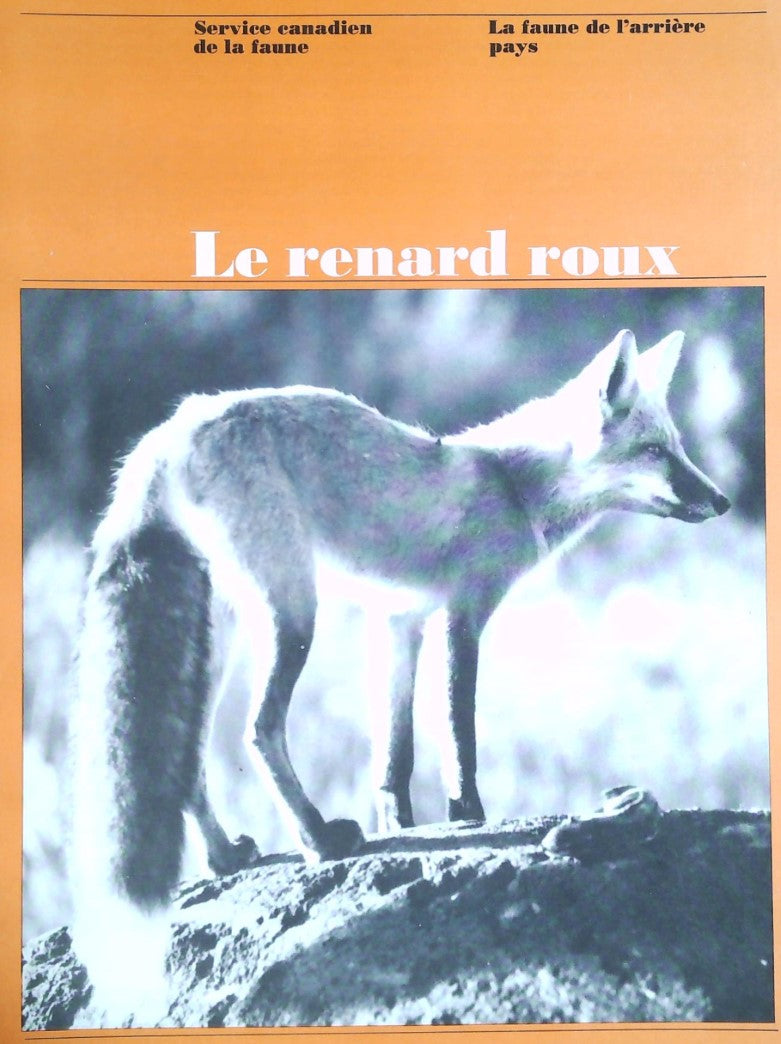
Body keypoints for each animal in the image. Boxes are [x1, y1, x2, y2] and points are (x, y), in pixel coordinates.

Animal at [69, 328, 729, 1025]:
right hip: (293, 614)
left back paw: (225, 858)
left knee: (188, 755)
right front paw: (466, 816)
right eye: (655, 452)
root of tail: (171, 429)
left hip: (223, 635)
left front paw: (402, 827)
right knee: (260, 728)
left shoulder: (399, 621)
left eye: (679, 447)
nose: (722, 500)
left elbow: (395, 751)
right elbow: (458, 734)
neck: (514, 484)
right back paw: (319, 840)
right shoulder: (464, 613)